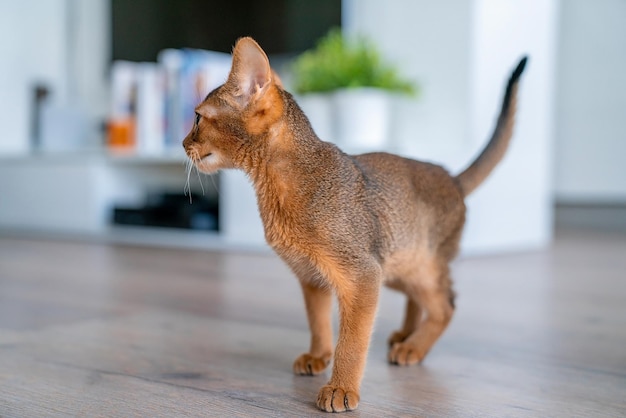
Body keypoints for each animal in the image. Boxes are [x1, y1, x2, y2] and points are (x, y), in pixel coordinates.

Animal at [182, 37, 528, 414]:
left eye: (198, 118)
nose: (183, 144)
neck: (282, 185)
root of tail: (452, 178)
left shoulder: (361, 275)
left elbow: (352, 342)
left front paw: (340, 388)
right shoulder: (312, 276)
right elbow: (318, 321)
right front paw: (318, 356)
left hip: (413, 267)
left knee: (446, 305)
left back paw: (413, 347)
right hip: (395, 265)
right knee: (420, 298)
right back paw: (406, 334)